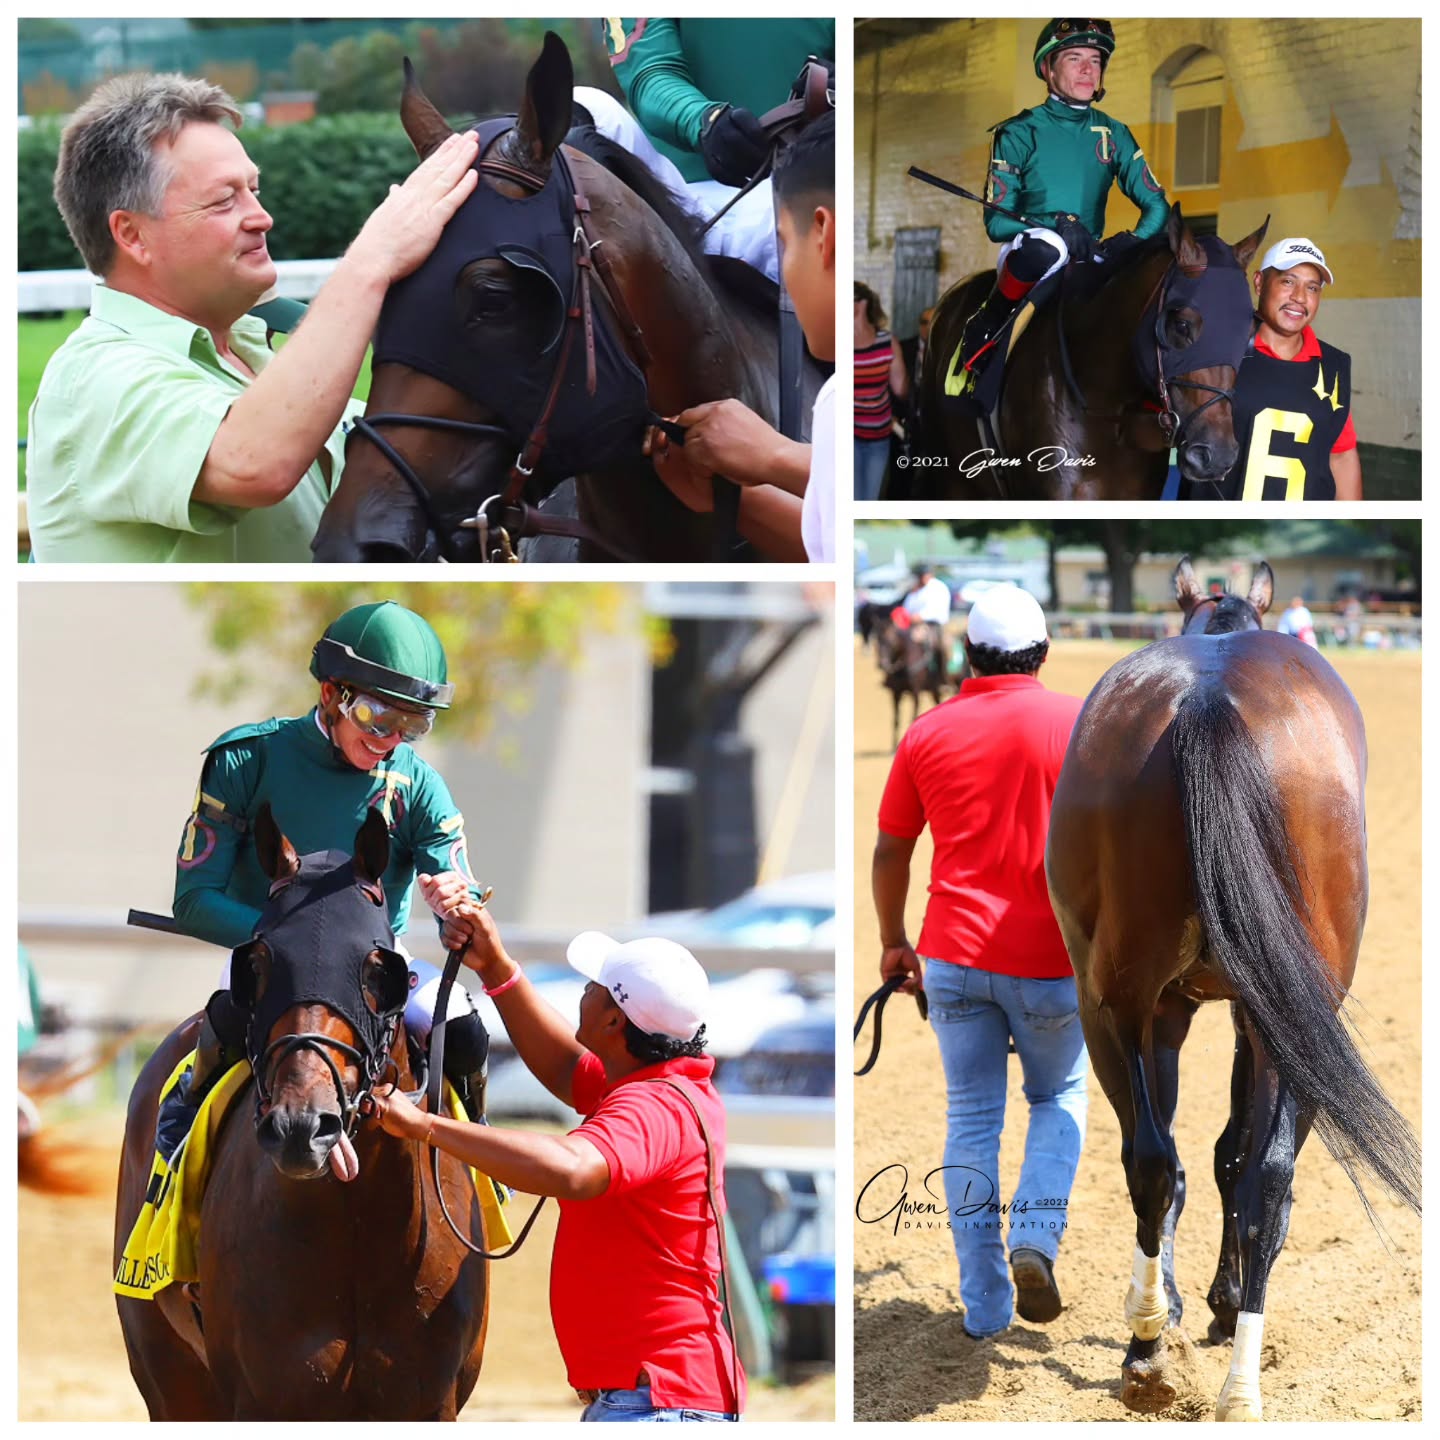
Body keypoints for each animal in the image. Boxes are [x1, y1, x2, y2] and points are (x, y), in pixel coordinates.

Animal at [114, 807, 490, 1420]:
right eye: (259, 963)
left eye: (378, 969)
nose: (301, 1127)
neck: (359, 1228)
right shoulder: (267, 1395)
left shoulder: (429, 1399)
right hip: (166, 1368)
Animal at [1045, 557, 1421, 1420]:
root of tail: (1208, 700)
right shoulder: (1243, 1011)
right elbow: (1230, 1156)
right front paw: (1212, 1302)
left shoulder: (1179, 1011)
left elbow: (1204, 1155)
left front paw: (1186, 1307)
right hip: (1291, 1010)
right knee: (1263, 1176)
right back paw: (1230, 1378)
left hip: (1120, 1005)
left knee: (1160, 1161)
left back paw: (1153, 1349)